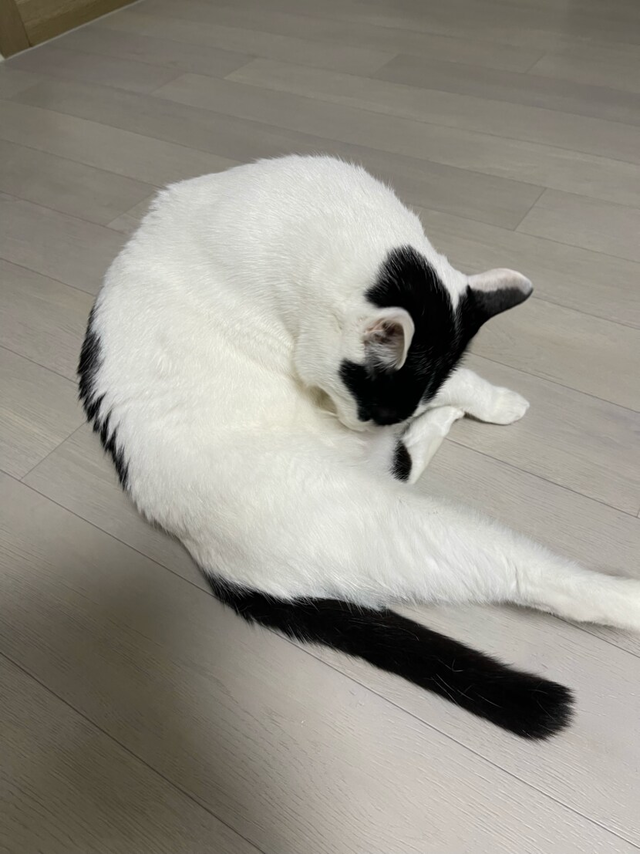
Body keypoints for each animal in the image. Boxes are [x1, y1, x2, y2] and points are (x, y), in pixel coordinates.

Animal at [79, 155, 640, 739]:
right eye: (370, 405)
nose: (368, 428)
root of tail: (213, 561)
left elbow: (452, 381)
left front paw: (488, 400)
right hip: (406, 528)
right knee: (520, 564)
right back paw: (628, 598)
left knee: (407, 463)